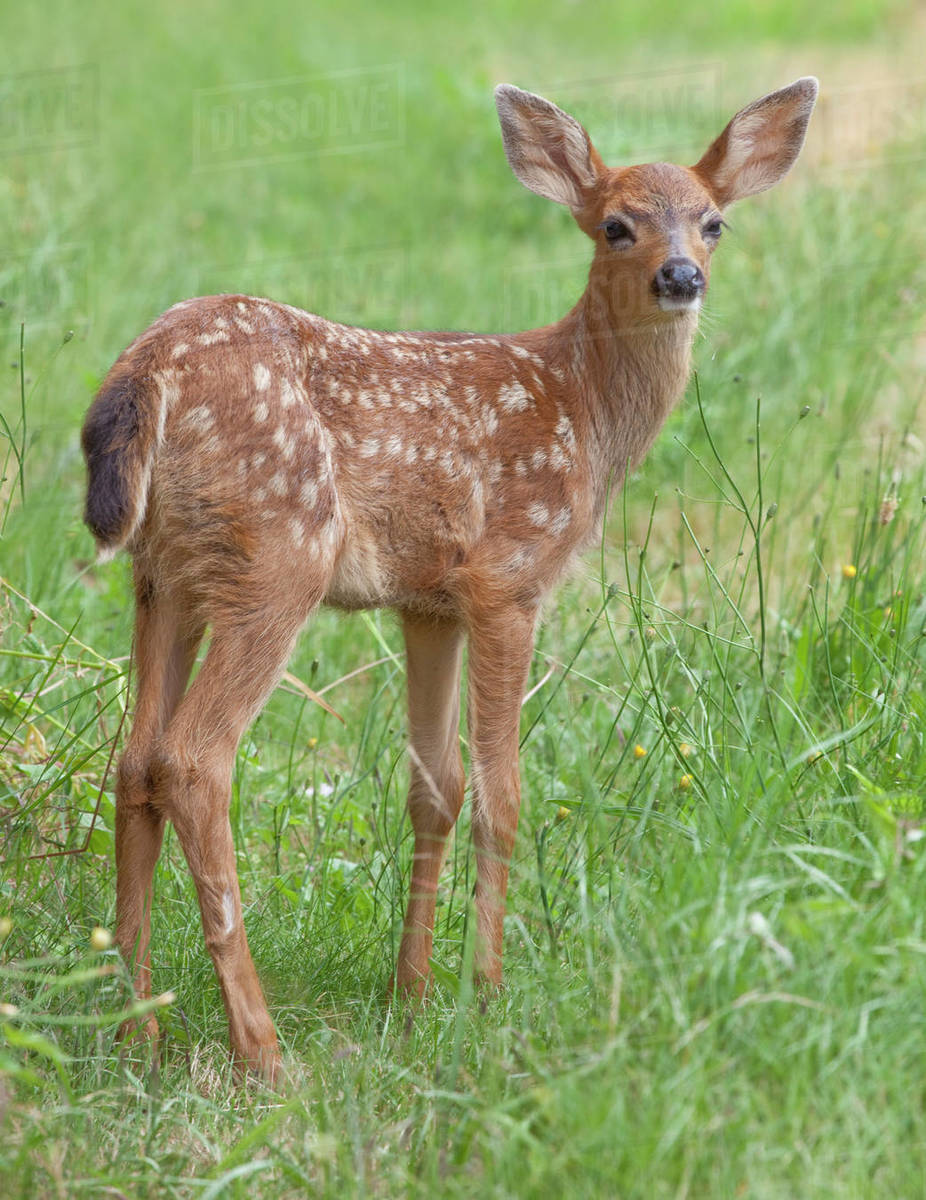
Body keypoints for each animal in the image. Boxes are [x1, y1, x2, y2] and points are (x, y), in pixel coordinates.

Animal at [81, 76, 818, 1083]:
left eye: (714, 223)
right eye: (616, 226)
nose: (681, 277)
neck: (583, 413)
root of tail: (144, 373)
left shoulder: (427, 601)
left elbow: (435, 789)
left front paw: (413, 993)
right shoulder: (509, 577)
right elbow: (502, 795)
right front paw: (488, 992)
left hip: (166, 577)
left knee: (134, 761)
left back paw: (139, 1030)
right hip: (278, 554)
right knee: (194, 761)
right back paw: (263, 1052)